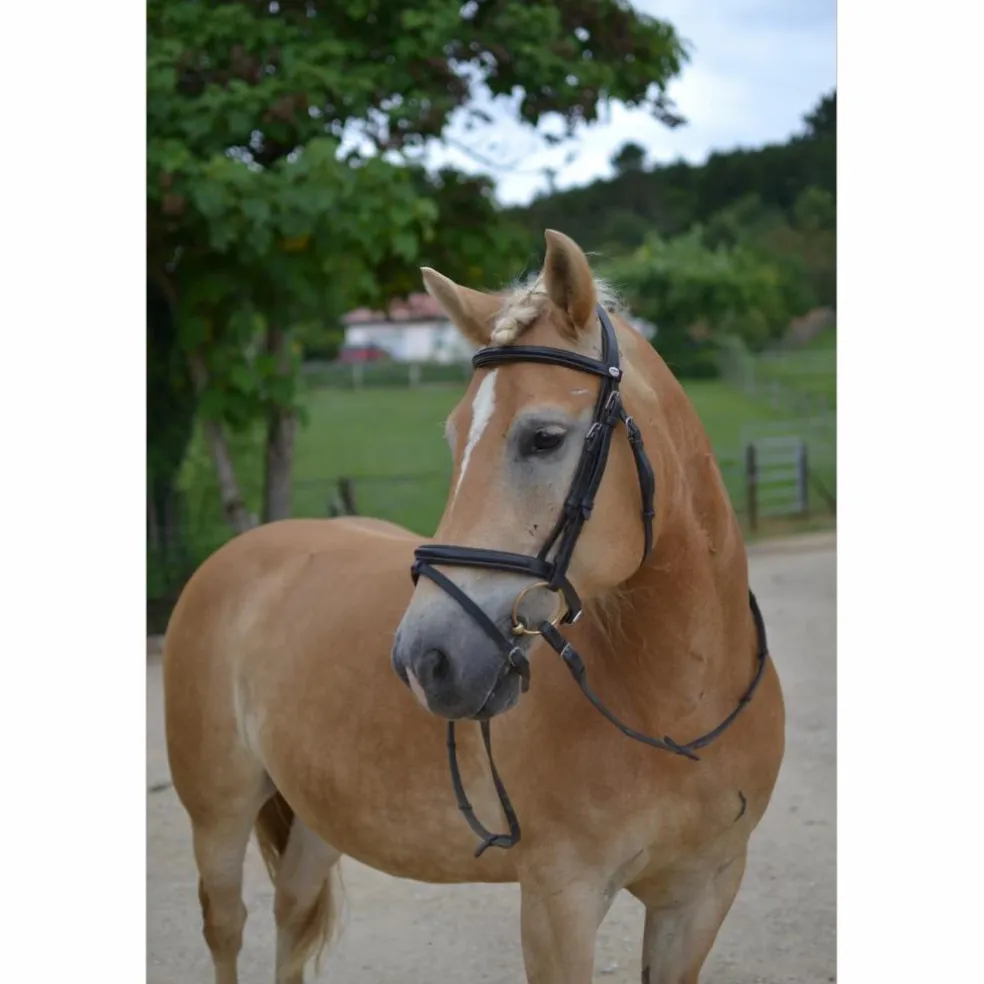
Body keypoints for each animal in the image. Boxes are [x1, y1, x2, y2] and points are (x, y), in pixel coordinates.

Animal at [162, 229, 785, 984]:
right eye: (456, 437)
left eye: (543, 437)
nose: (423, 660)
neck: (675, 713)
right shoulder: (558, 903)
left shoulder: (701, 895)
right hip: (217, 814)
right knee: (227, 926)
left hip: (318, 812)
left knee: (292, 910)